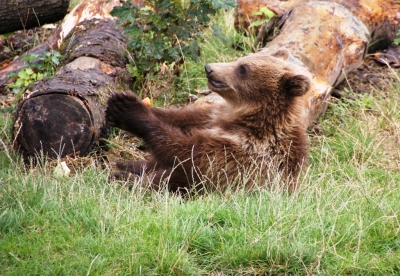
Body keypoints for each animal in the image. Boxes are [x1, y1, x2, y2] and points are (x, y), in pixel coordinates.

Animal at [104, 49, 310, 194]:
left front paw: (126, 109)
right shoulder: (211, 117)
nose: (209, 68)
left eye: (243, 69)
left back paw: (123, 176)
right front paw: (123, 103)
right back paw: (123, 165)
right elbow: (179, 118)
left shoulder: (248, 151)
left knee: (166, 180)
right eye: (242, 59)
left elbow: (189, 152)